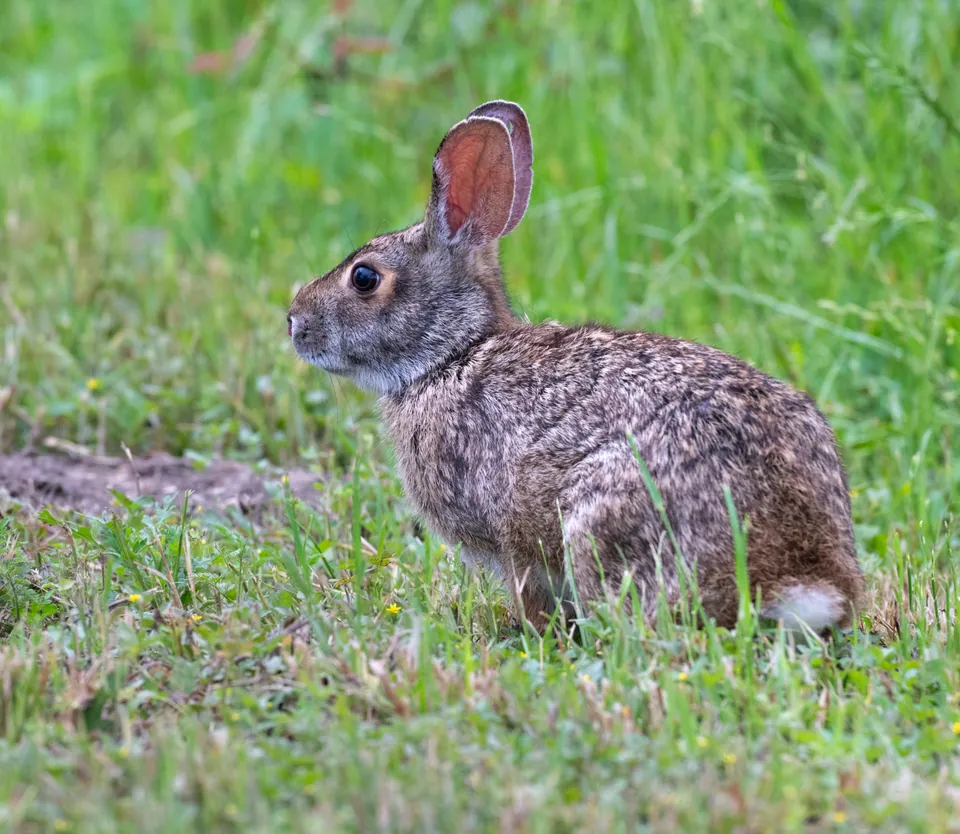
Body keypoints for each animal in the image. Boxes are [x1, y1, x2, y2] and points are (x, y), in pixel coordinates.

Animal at [288, 100, 864, 634]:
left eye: (364, 278)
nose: (294, 322)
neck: (453, 354)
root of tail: (801, 577)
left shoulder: (511, 540)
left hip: (599, 520)